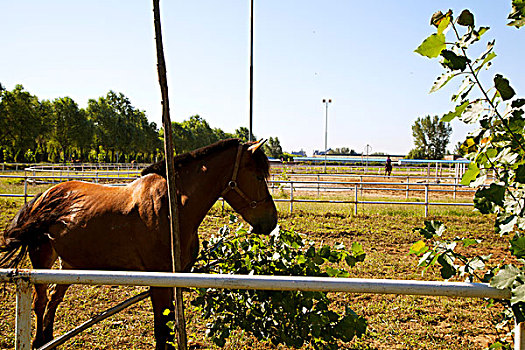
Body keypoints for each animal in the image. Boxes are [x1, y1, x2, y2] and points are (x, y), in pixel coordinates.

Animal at [1, 138, 278, 348]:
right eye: (257, 176)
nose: (271, 221)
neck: (172, 208)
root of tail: (43, 196)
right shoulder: (159, 282)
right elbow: (162, 330)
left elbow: (170, 326)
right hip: (42, 258)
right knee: (40, 302)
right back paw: (38, 340)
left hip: (70, 264)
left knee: (53, 299)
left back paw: (47, 338)